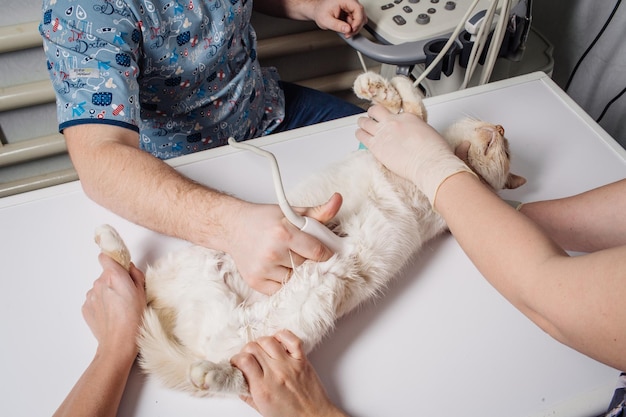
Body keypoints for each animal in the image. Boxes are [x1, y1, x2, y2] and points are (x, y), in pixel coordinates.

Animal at [95, 71, 524, 396]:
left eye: (505, 152)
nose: (503, 128)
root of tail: (182, 327)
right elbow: (406, 105)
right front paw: (380, 84)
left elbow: (417, 109)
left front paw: (394, 86)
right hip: (192, 261)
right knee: (137, 282)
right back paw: (108, 242)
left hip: (271, 339)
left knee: (237, 378)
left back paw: (208, 373)